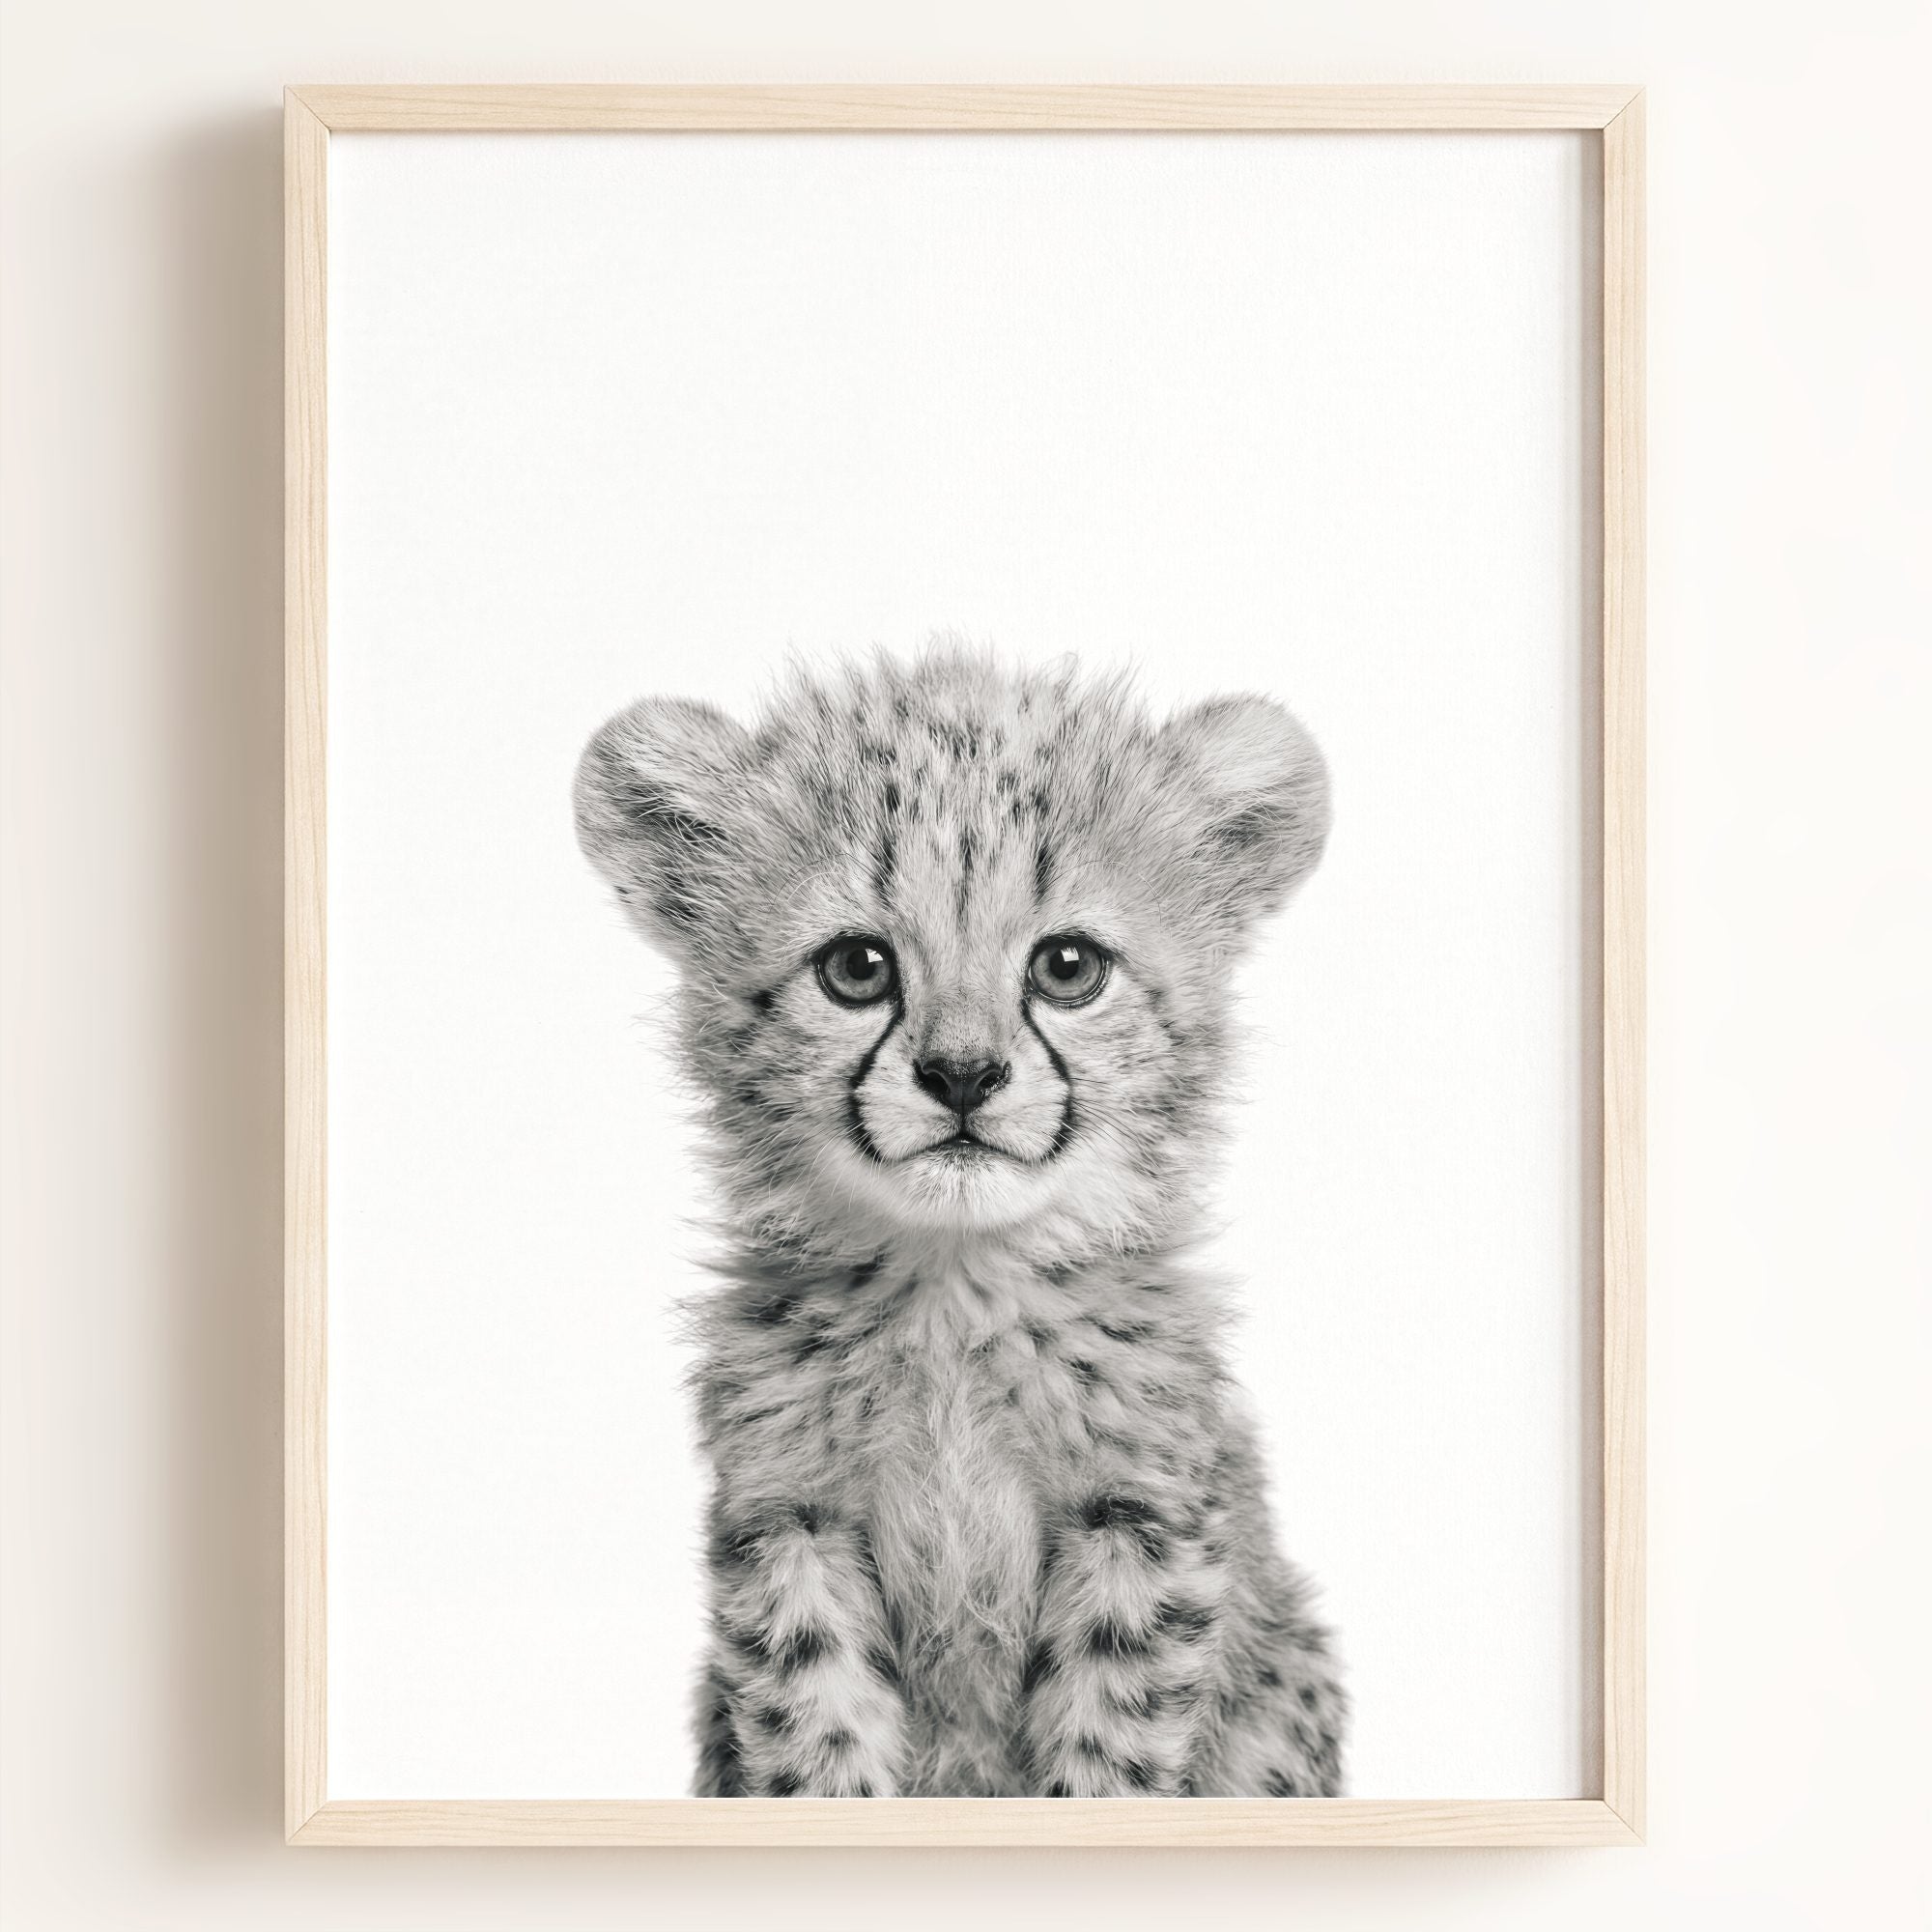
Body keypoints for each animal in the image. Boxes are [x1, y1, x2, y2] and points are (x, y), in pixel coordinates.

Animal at [574, 643, 1347, 1798]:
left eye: (1067, 967)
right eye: (857, 967)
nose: (962, 1075)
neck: (954, 1286)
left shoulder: (1138, 1517)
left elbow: (1110, 1750)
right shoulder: (789, 1521)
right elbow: (816, 1738)